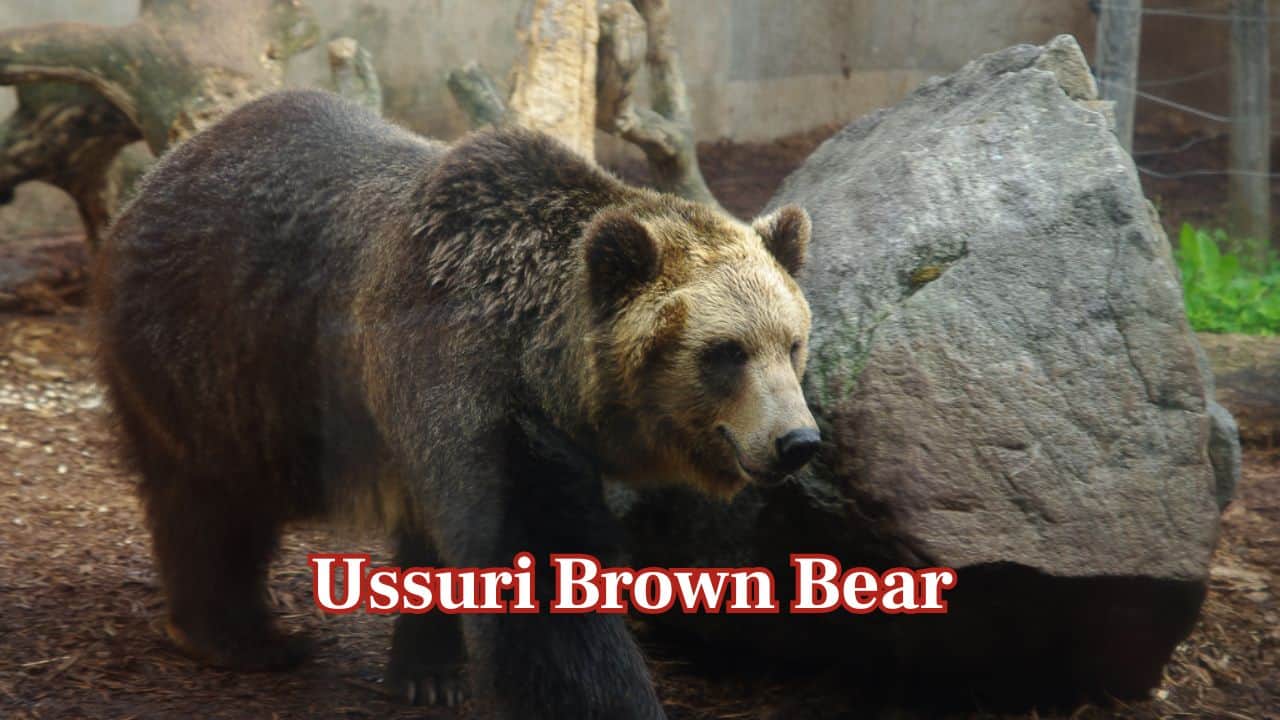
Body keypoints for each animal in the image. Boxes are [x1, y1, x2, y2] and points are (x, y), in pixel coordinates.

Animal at [92, 89, 819, 719]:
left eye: (793, 343)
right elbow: (539, 580)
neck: (541, 361)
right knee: (210, 501)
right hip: (216, 356)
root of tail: (168, 164)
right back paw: (237, 635)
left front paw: (432, 673)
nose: (796, 441)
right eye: (725, 351)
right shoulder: (465, 383)